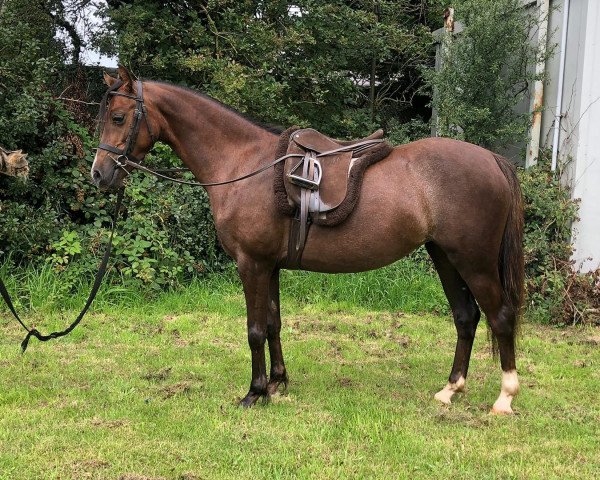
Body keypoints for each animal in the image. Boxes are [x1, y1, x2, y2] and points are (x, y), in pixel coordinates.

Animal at [91, 66, 524, 412]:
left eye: (118, 117)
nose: (99, 174)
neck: (245, 165)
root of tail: (491, 160)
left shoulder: (251, 264)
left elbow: (254, 329)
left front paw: (254, 392)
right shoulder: (270, 266)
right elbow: (273, 323)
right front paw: (278, 383)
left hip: (473, 261)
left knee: (500, 316)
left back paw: (504, 398)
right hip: (445, 256)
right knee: (466, 317)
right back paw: (450, 390)